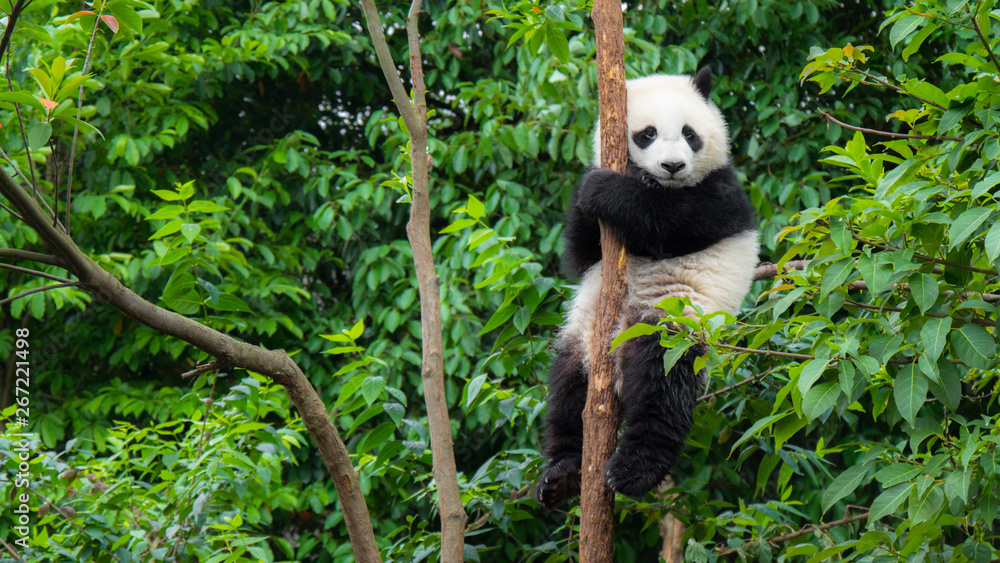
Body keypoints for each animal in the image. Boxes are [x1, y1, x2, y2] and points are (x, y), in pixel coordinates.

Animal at [536, 67, 760, 509]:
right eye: (647, 134)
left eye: (690, 134)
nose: (672, 165)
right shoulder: (590, 257)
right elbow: (579, 255)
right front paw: (593, 186)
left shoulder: (721, 194)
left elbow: (669, 223)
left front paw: (604, 190)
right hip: (583, 337)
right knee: (567, 391)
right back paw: (562, 474)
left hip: (673, 323)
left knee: (663, 387)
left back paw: (633, 471)